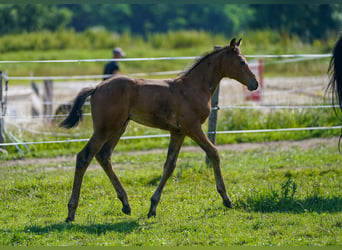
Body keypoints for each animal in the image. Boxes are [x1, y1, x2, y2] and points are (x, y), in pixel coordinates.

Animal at [60, 38, 260, 222]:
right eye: (241, 62)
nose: (255, 83)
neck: (194, 87)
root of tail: (97, 87)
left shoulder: (178, 132)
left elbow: (170, 165)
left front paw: (152, 207)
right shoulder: (193, 127)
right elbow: (214, 152)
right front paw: (226, 199)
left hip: (119, 128)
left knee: (103, 156)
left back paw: (125, 204)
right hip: (105, 129)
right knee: (84, 157)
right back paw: (71, 212)